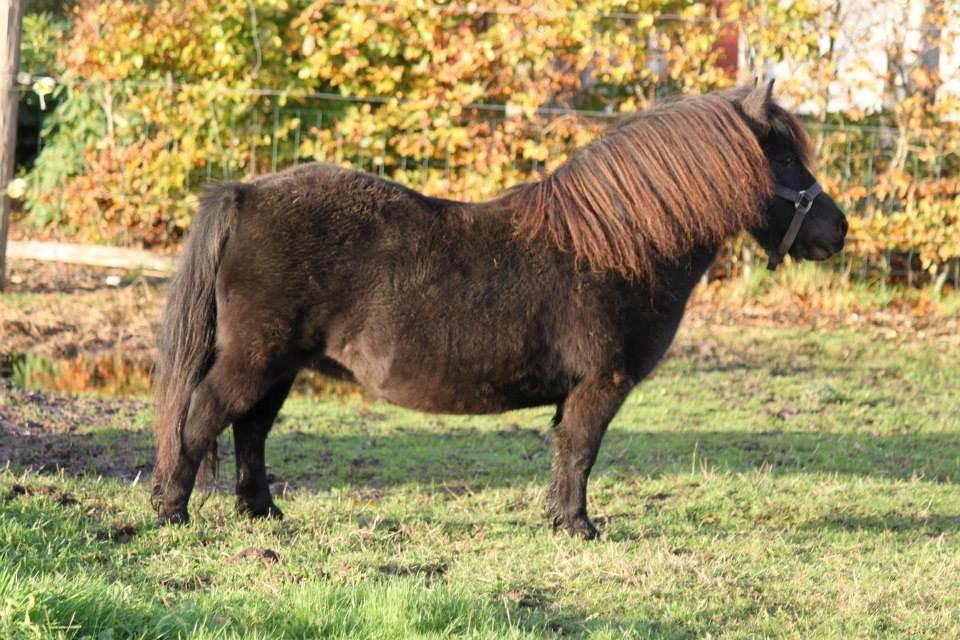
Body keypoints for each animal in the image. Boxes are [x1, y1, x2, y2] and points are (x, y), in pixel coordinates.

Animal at [152, 81, 848, 540]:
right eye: (785, 158)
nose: (839, 231)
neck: (621, 246)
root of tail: (245, 192)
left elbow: (566, 453)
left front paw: (560, 519)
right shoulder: (601, 385)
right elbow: (581, 452)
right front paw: (578, 527)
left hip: (280, 365)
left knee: (250, 431)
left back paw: (262, 514)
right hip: (255, 359)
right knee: (202, 419)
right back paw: (172, 513)